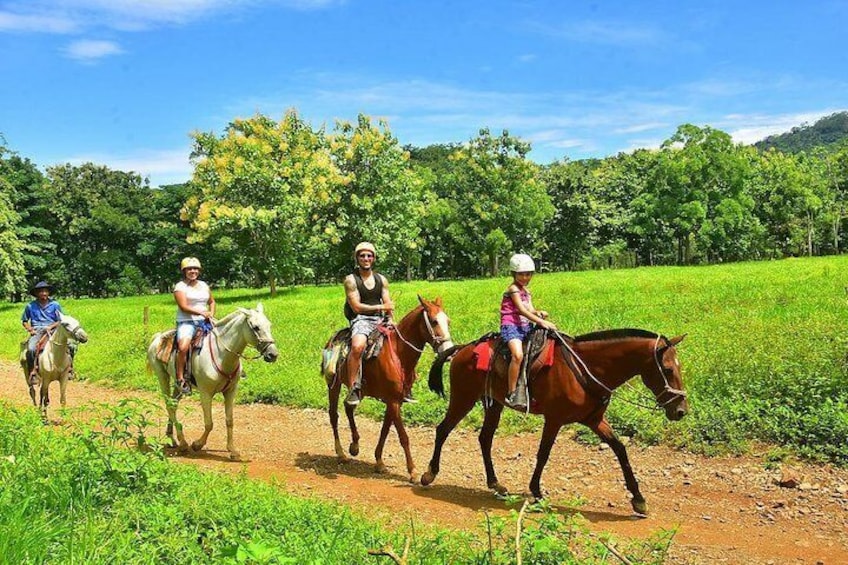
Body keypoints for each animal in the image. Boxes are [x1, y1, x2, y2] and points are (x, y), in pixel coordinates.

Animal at [146, 304, 278, 458]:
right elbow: (209, 423)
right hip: (162, 376)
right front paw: (197, 444)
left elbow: (229, 421)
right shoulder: (206, 393)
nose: (273, 354)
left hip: (179, 385)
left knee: (173, 405)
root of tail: (158, 337)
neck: (221, 354)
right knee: (169, 405)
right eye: (256, 327)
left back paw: (171, 439)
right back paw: (183, 443)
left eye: (269, 325)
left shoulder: (230, 392)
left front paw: (232, 450)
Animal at [326, 296, 458, 480]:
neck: (398, 354)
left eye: (448, 321)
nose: (449, 352)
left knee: (348, 407)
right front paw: (412, 470)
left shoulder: (394, 400)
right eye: (434, 321)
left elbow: (385, 431)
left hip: (358, 391)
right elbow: (403, 436)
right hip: (333, 385)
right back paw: (341, 453)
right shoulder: (394, 401)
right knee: (334, 415)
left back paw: (354, 445)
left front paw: (379, 462)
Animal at [420, 326, 684, 516]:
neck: (586, 368)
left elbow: (620, 450)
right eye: (668, 370)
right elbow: (543, 453)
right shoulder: (554, 419)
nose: (681, 411)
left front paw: (638, 499)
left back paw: (496, 484)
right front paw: (536, 491)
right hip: (463, 398)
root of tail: (463, 349)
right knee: (443, 429)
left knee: (485, 438)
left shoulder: (594, 420)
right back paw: (429, 474)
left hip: (493, 403)